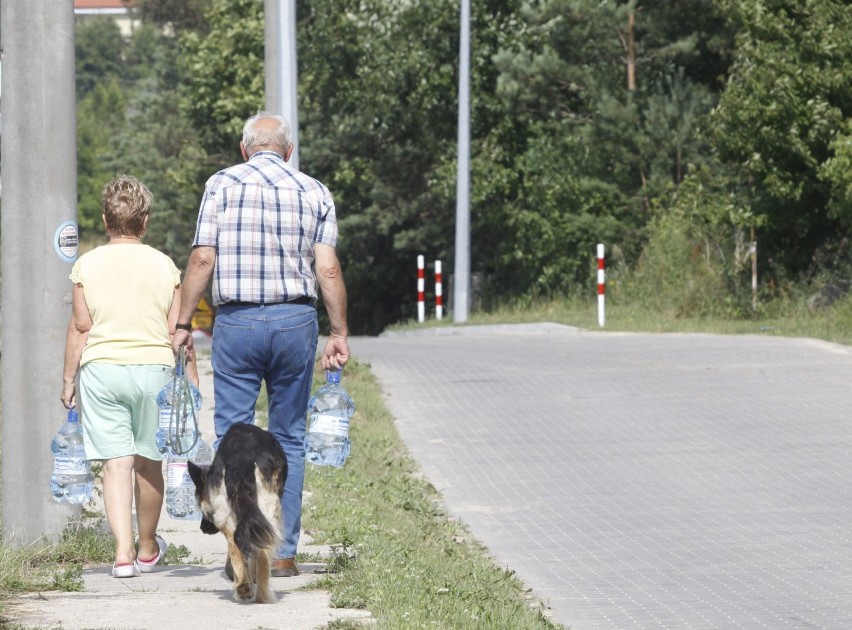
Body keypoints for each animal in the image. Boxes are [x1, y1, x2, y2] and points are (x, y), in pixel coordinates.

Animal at [186, 422, 286, 604]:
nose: (203, 528)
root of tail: (239, 461)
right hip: (269, 508)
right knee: (262, 554)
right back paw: (262, 596)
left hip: (226, 516)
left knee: (234, 547)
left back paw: (243, 588)